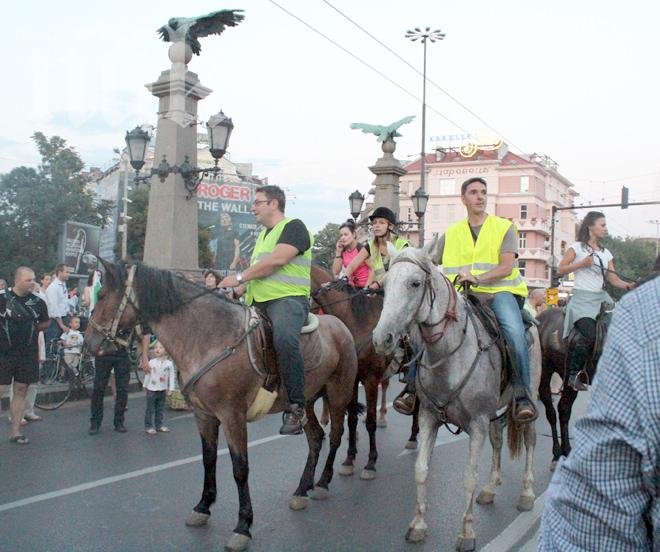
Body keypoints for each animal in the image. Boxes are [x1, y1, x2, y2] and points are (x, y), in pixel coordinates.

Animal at [85, 260, 358, 552]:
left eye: (102, 295)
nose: (88, 341)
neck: (209, 337)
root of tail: (340, 325)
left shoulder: (232, 416)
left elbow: (240, 468)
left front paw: (243, 525)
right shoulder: (204, 415)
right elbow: (208, 460)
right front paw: (203, 507)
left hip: (338, 394)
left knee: (336, 435)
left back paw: (323, 483)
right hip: (305, 400)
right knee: (316, 438)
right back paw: (301, 490)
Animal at [310, 264, 418, 478]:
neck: (356, 324)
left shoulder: (370, 380)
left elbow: (370, 421)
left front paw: (370, 463)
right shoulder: (351, 380)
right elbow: (351, 418)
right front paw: (349, 459)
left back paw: (413, 436)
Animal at [374, 238, 540, 552]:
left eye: (415, 283)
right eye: (385, 285)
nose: (381, 339)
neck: (452, 355)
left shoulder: (477, 423)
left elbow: (468, 477)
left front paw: (466, 533)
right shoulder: (428, 417)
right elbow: (421, 469)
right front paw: (418, 526)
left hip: (527, 401)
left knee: (529, 441)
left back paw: (527, 493)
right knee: (498, 440)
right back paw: (490, 488)